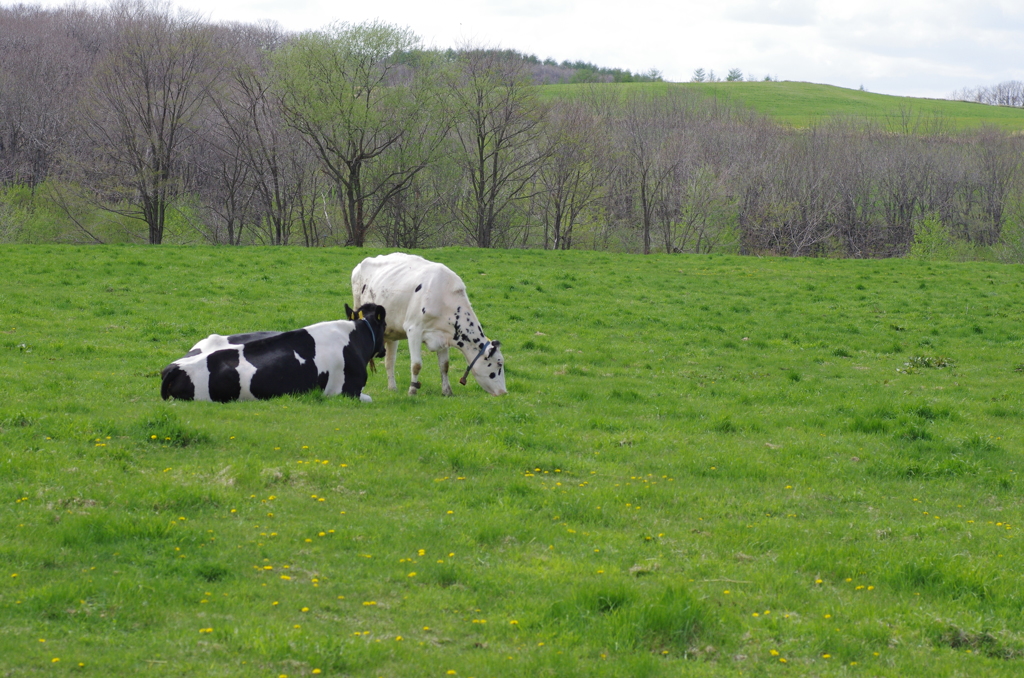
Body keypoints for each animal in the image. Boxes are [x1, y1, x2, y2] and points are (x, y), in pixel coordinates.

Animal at [352, 251, 507, 395]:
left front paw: (447, 391)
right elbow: (416, 365)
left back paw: (392, 388)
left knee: (390, 360)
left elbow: (444, 365)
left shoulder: (444, 335)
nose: (504, 392)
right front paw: (412, 391)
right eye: (499, 363)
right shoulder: (413, 330)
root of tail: (361, 264)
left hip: (391, 330)